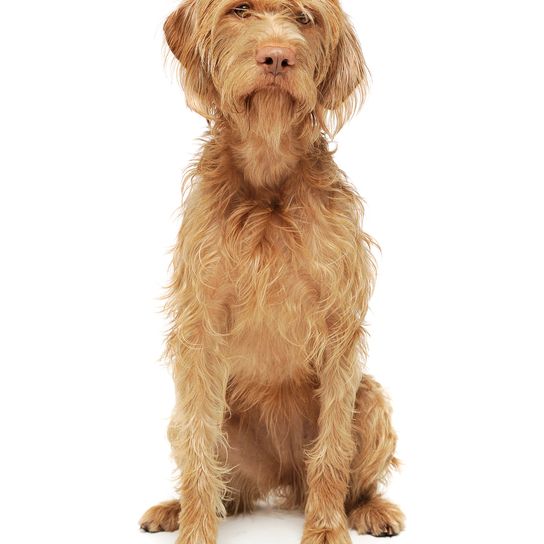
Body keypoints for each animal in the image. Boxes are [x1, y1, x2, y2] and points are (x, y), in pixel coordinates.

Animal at [140, 1, 404, 544]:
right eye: (239, 10)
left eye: (305, 19)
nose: (278, 57)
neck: (268, 177)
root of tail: (283, 474)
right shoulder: (199, 326)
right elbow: (199, 448)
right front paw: (195, 530)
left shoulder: (339, 325)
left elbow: (332, 450)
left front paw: (326, 528)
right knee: (213, 471)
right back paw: (177, 508)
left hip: (370, 399)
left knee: (352, 475)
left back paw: (369, 509)